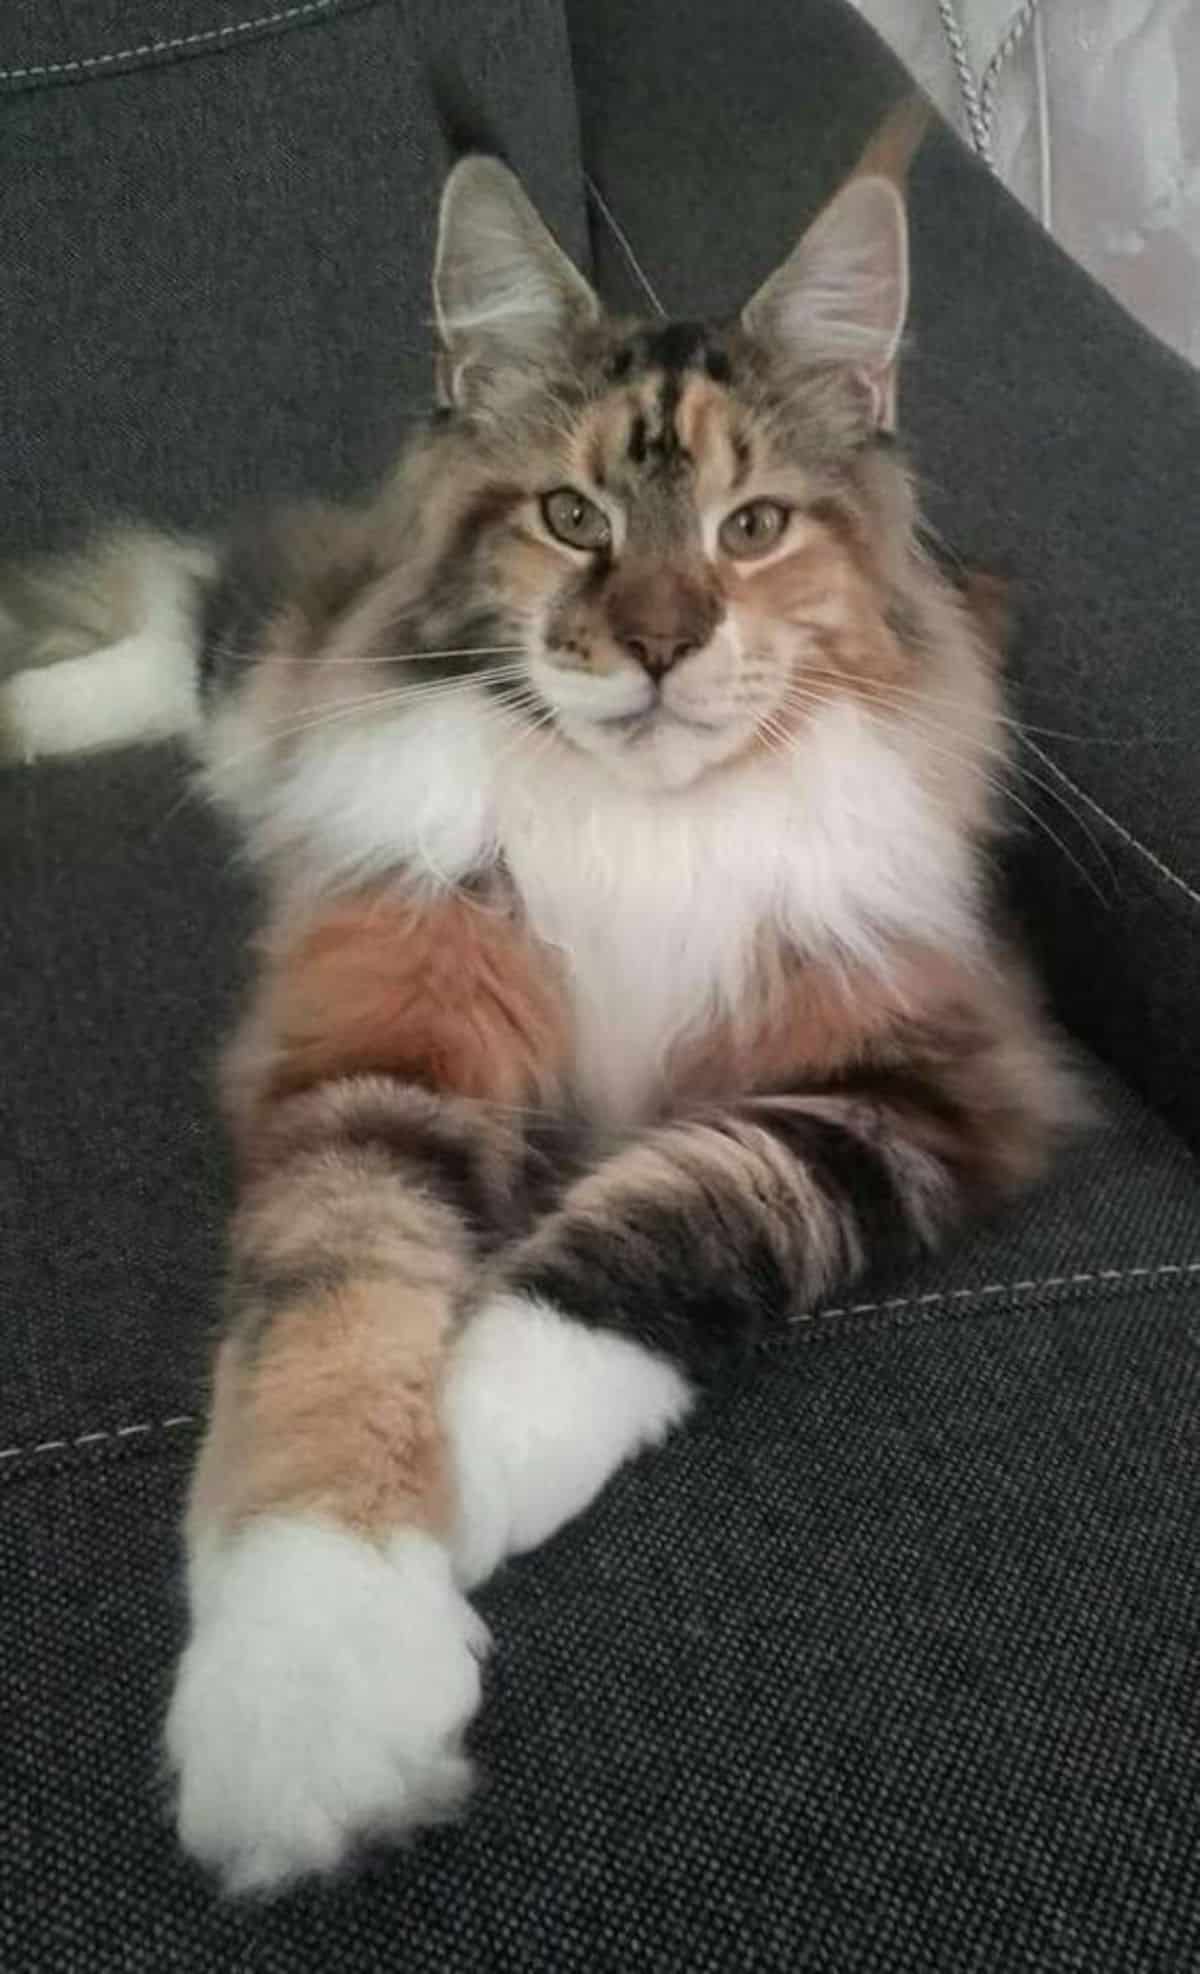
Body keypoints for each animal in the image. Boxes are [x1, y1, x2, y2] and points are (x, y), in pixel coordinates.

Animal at [0, 143, 1081, 1895]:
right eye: (574, 518)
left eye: (753, 527)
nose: (661, 645)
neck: (641, 820)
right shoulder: (386, 1035)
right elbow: (333, 1312)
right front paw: (313, 1691)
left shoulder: (924, 1081)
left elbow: (683, 1218)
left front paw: (478, 1439)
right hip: (283, 677)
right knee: (199, 618)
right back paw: (28, 710)